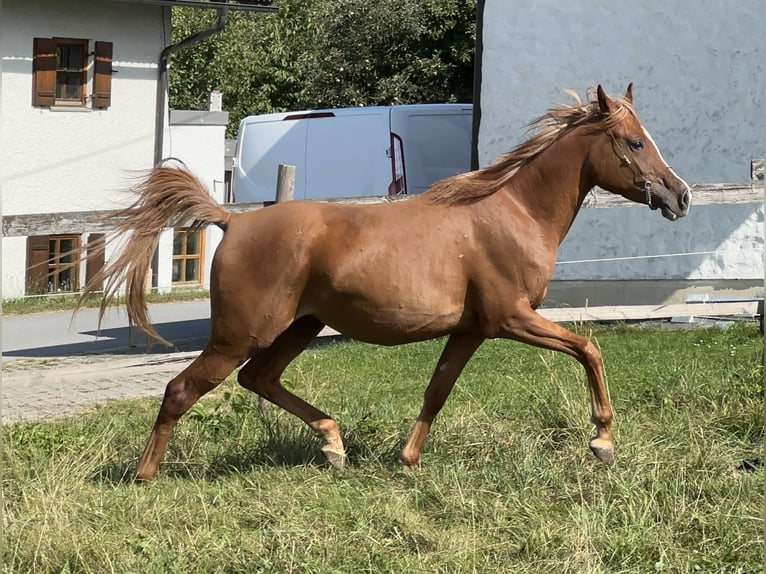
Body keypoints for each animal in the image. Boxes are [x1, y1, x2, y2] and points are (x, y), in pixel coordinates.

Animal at [79, 84, 691, 480]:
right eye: (635, 142)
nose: (680, 195)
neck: (513, 213)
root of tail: (234, 220)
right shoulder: (511, 318)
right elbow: (589, 349)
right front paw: (602, 440)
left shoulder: (471, 329)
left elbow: (437, 389)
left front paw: (407, 460)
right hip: (240, 334)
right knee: (183, 389)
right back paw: (144, 478)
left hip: (298, 328)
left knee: (259, 379)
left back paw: (333, 444)